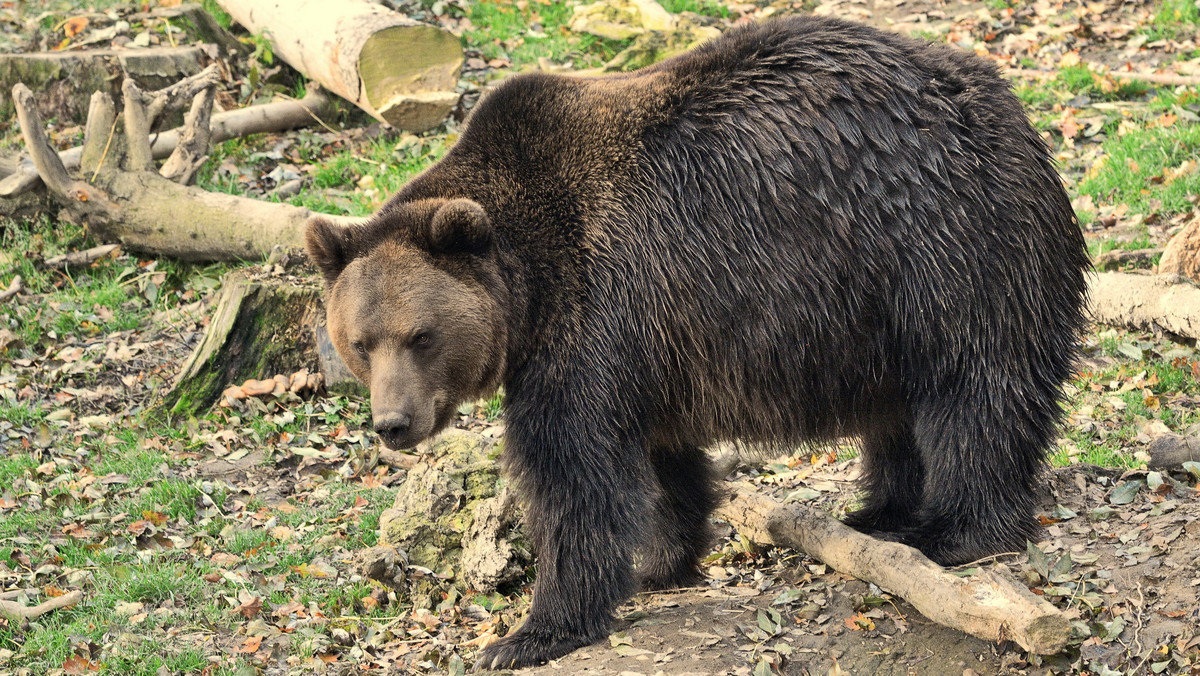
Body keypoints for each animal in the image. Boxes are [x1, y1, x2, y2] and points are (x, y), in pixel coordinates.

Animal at [304, 13, 1094, 672]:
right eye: (359, 342)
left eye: (421, 335)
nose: (394, 423)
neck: (527, 288)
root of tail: (1012, 109)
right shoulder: (649, 343)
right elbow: (660, 459)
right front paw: (661, 560)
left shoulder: (591, 313)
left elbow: (571, 471)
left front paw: (529, 632)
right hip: (880, 305)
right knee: (897, 409)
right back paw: (881, 511)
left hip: (943, 245)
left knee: (976, 387)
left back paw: (957, 529)